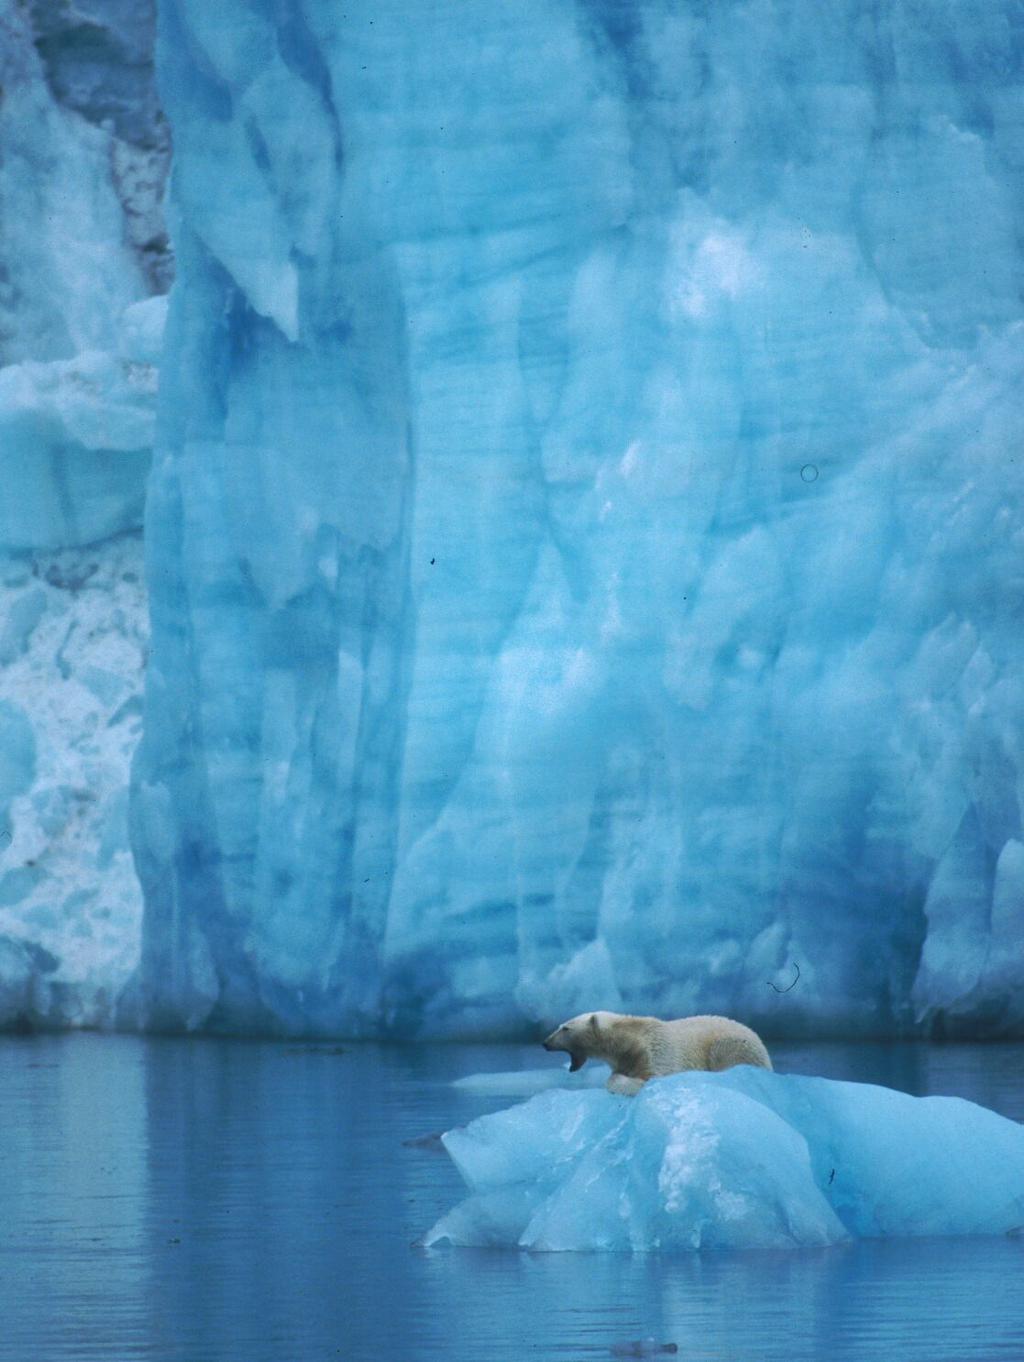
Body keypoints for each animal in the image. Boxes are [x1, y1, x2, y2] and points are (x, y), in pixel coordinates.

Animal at [544, 1013, 768, 1095]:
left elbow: (654, 1076)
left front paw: (631, 1084)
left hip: (733, 1045)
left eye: (565, 1028)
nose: (545, 1042)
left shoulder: (658, 1050)